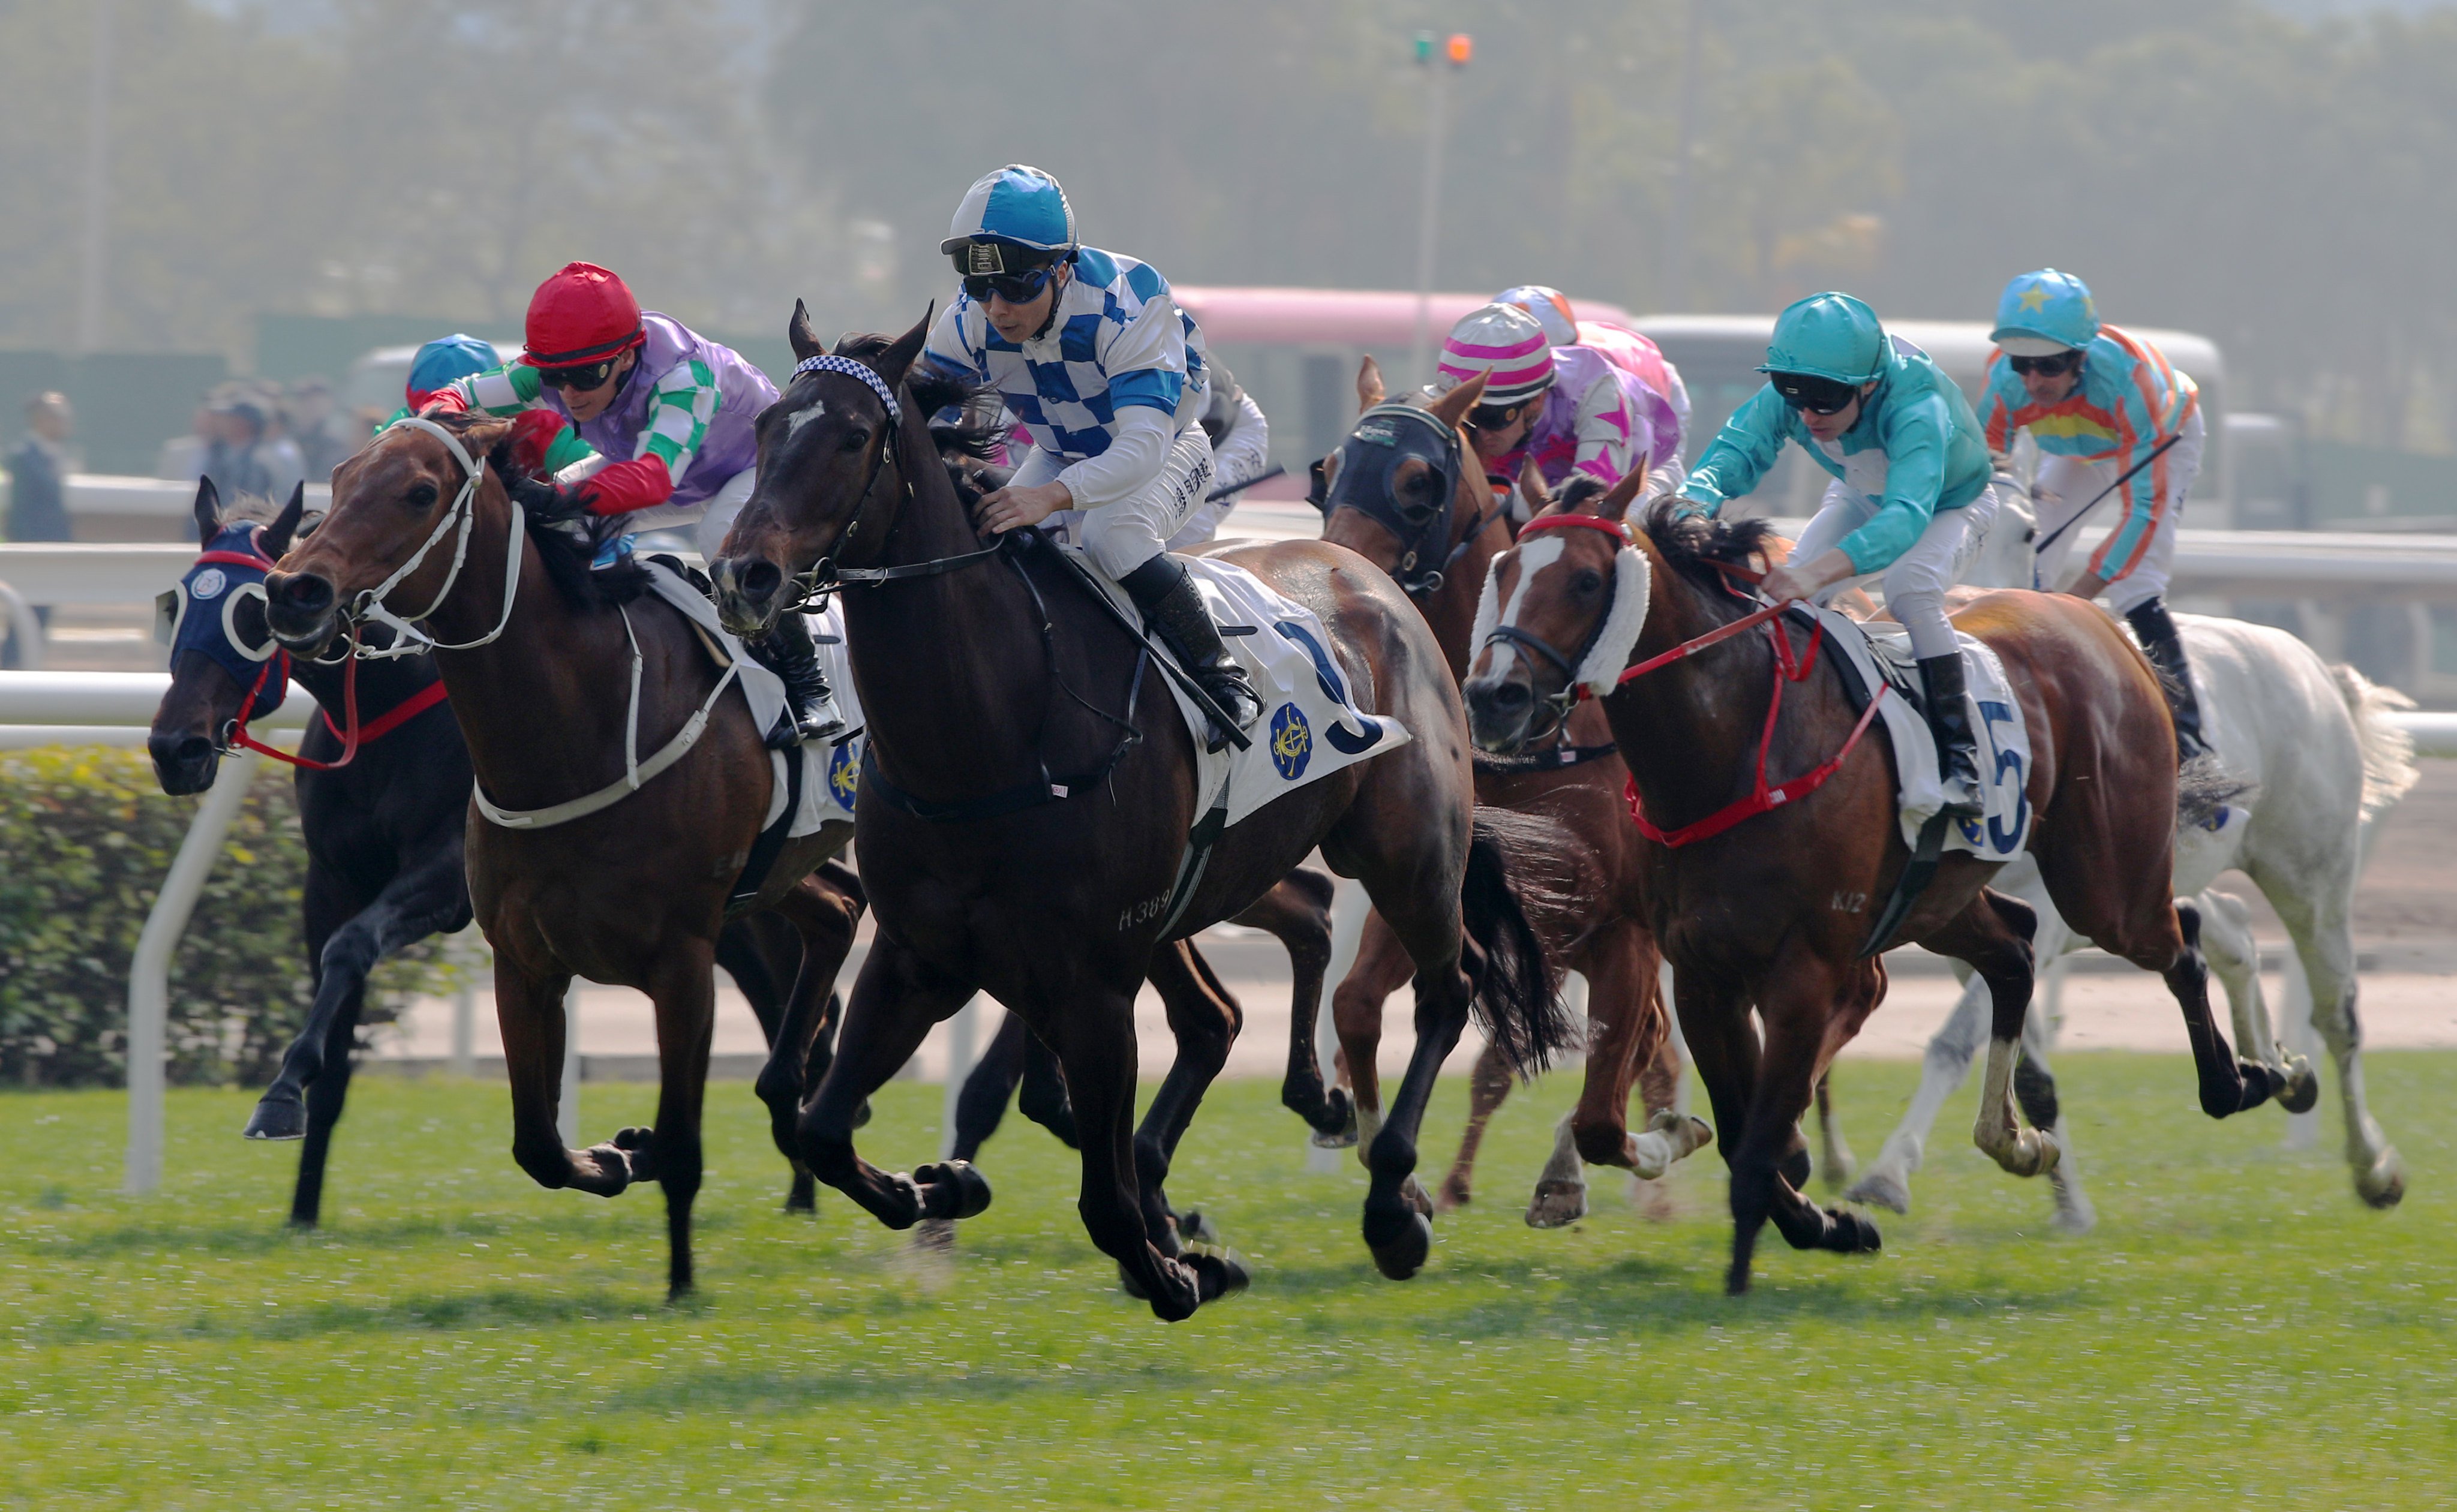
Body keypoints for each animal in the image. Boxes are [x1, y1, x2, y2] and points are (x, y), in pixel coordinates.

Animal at [263, 413, 864, 1298]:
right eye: (338, 479)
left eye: (419, 492)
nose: (293, 589)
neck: (579, 729)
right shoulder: (523, 960)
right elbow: (538, 1147)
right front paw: (616, 1156)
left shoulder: (683, 962)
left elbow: (684, 1148)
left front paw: (681, 1285)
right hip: (783, 867)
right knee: (838, 912)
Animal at [702, 307, 1572, 1318]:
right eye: (768, 428)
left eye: (850, 437)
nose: (744, 575)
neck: (993, 730)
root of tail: (1367, 573)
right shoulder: (923, 954)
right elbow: (826, 1130)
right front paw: (942, 1185)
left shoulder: (1091, 981)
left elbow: (1103, 1200)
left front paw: (1176, 1266)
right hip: (1194, 905)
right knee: (1223, 1018)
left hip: (1408, 854)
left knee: (1444, 986)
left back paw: (1393, 1198)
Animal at [1317, 361, 1700, 1224]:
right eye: (1329, 468)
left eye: (1417, 482)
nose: (1336, 568)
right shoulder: (1449, 894)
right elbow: (1355, 1003)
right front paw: (1400, 1176)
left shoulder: (1620, 930)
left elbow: (1601, 1079)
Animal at [1454, 479, 2280, 1298]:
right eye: (1504, 569)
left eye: (1585, 580)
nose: (1493, 695)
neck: (1734, 750)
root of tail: (2097, 622)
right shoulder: (1701, 967)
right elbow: (1739, 1124)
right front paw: (1819, 1218)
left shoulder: (1803, 968)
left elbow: (1757, 1136)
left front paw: (1771, 1246)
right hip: (1939, 899)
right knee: (2015, 948)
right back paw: (2016, 1137)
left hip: (2104, 884)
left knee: (2180, 940)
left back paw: (2249, 1077)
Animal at [1837, 484, 2408, 1229]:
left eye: (2026, 533)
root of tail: (2313, 666)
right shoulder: (1962, 916)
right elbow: (2025, 1059)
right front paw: (2063, 1193)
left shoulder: (2048, 911)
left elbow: (1956, 1041)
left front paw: (1888, 1172)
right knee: (2231, 932)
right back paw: (2276, 1066)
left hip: (2310, 876)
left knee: (2337, 1012)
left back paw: (2371, 1164)